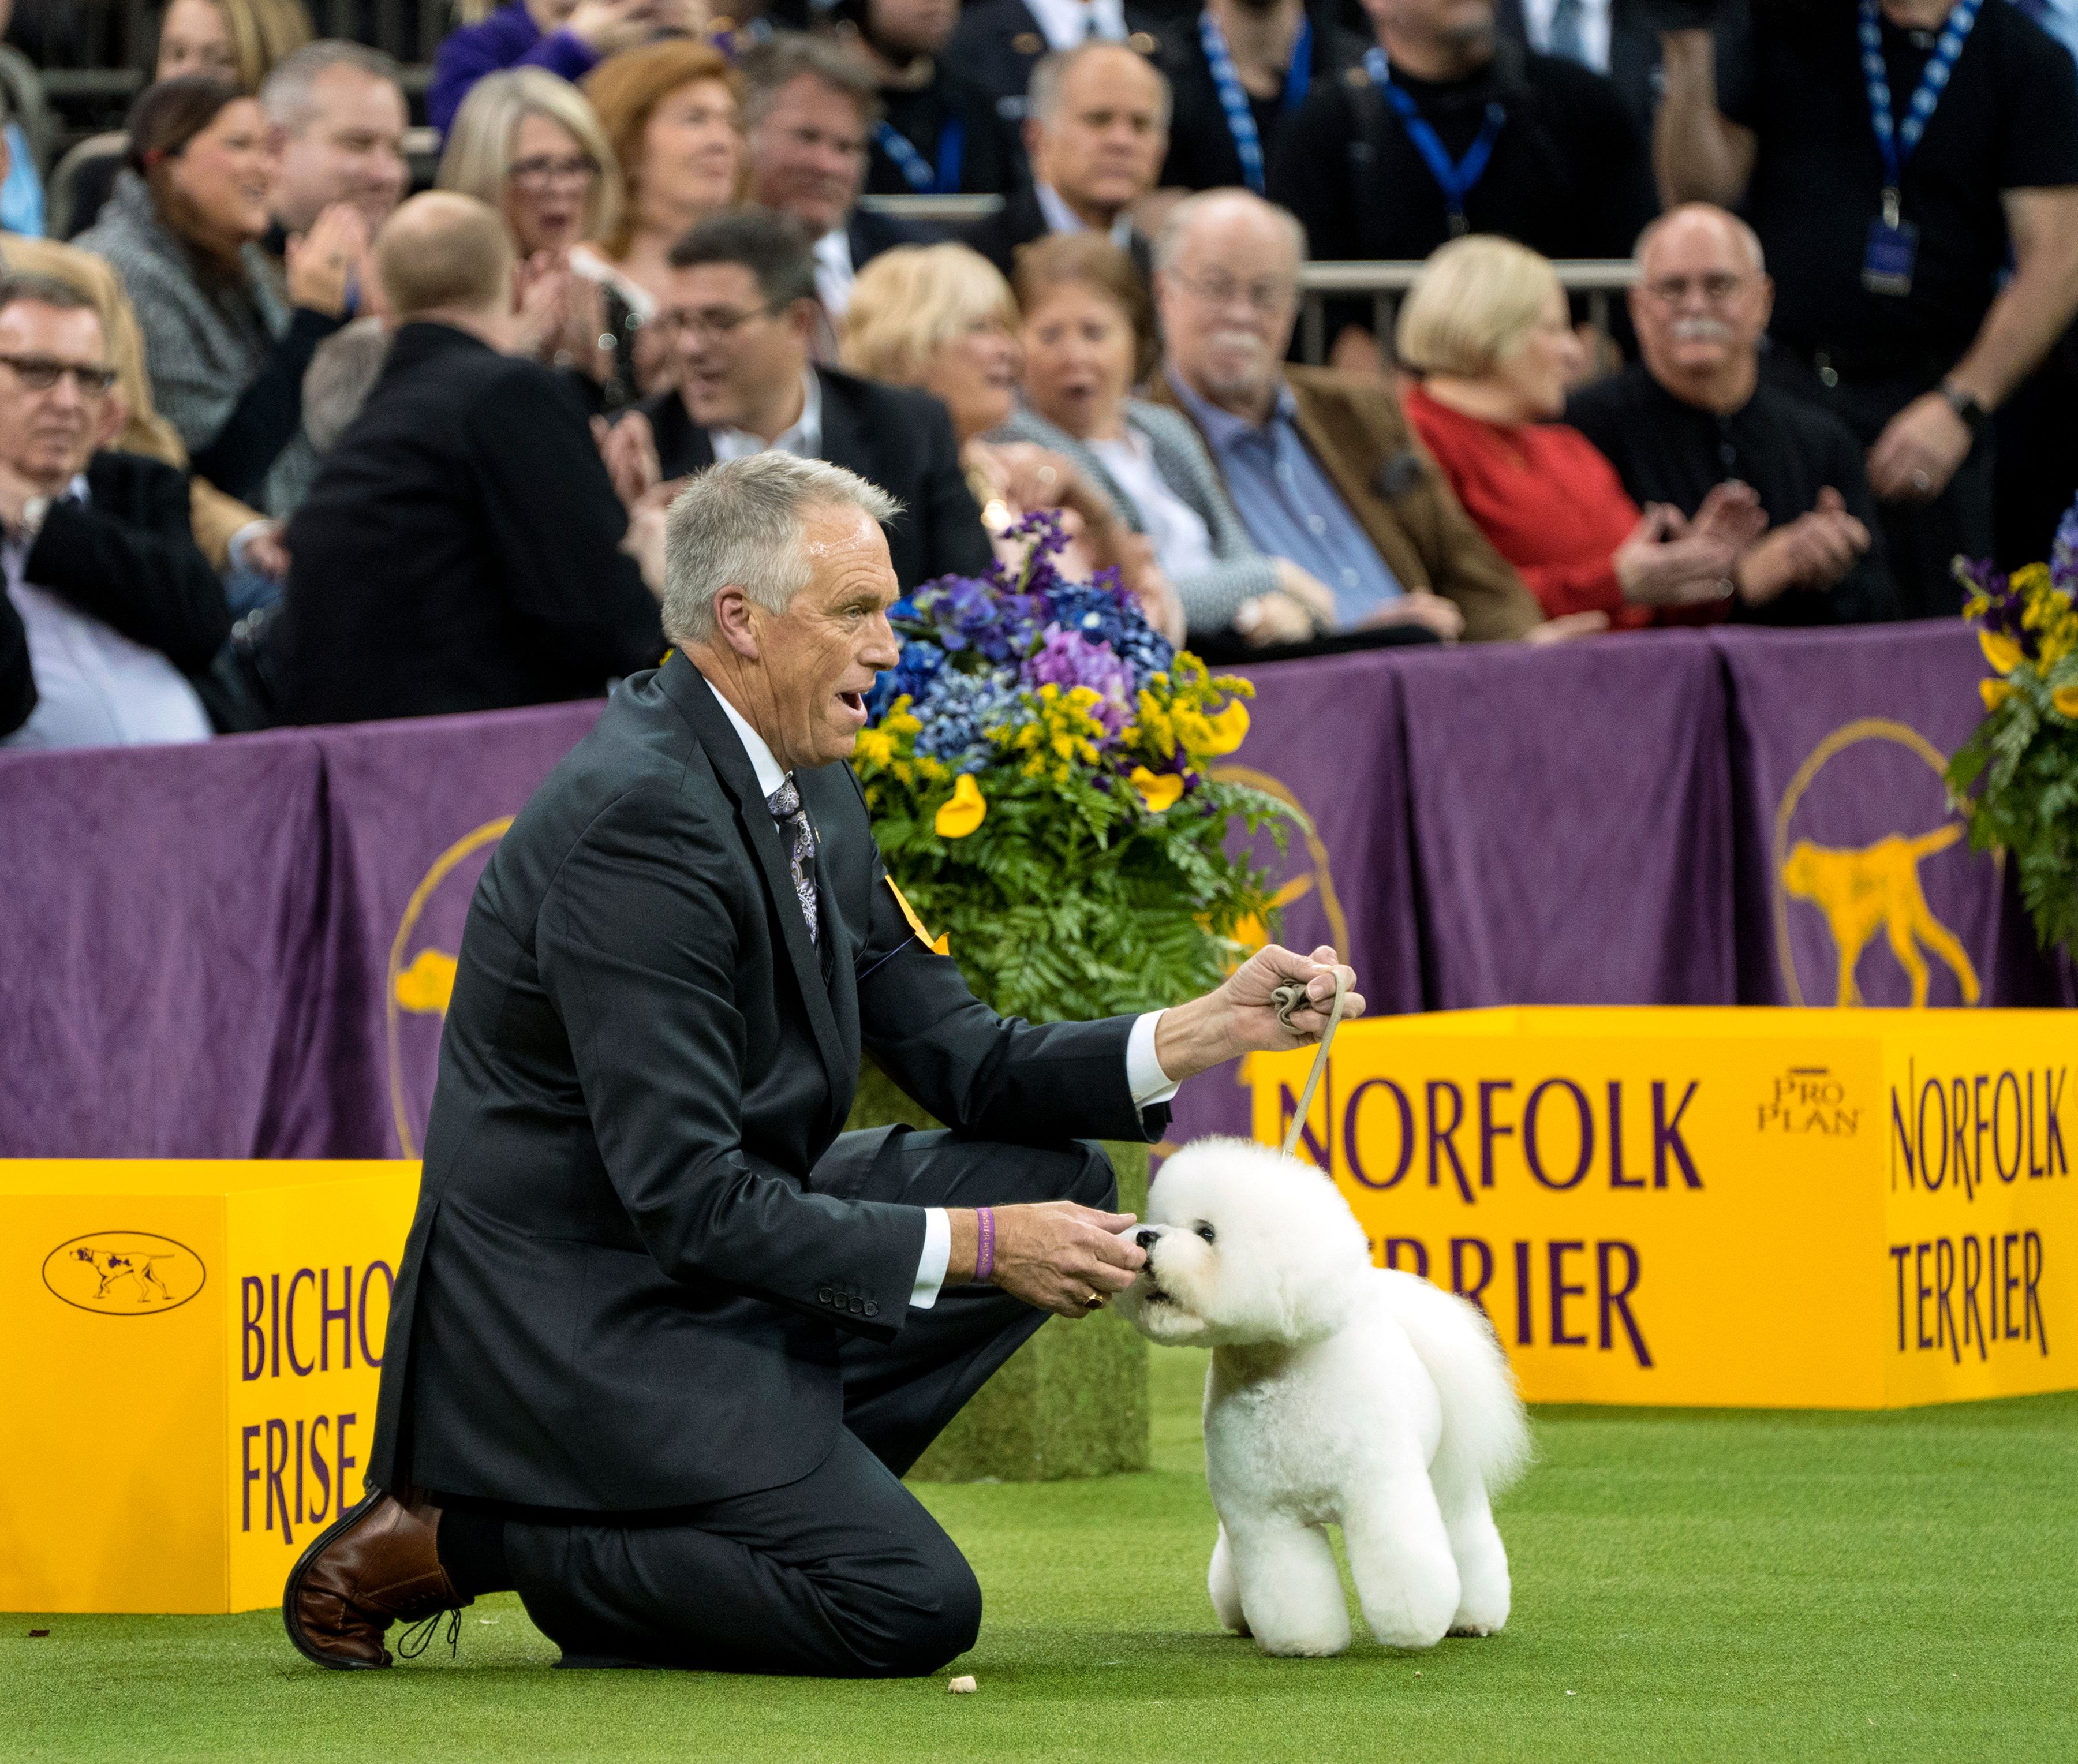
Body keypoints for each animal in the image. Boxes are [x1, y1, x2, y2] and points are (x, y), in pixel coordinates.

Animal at [1122, 1138, 1529, 1662]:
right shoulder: (1265, 1518)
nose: (1143, 1237)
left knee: (1467, 1534)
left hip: (1444, 1477)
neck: (1276, 1378)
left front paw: (1415, 1628)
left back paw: (1475, 1618)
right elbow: (1292, 1586)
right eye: (1160, 1219)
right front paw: (1305, 1643)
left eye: (1207, 1232)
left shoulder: (1379, 1495)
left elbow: (1403, 1567)